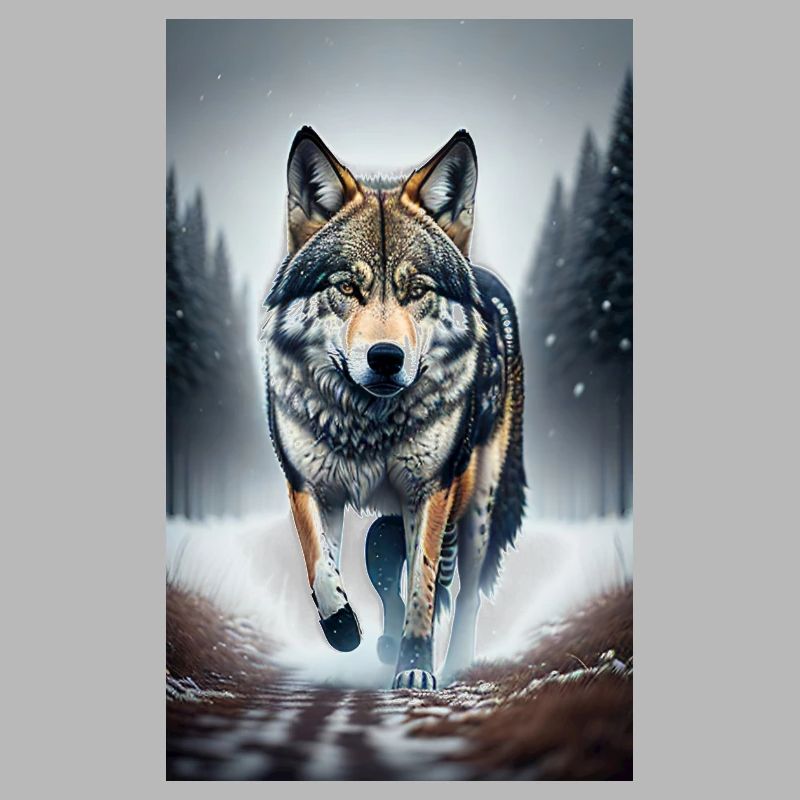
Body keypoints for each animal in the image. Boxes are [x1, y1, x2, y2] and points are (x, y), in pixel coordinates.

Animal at [261, 127, 525, 689]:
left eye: (417, 289)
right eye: (346, 285)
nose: (385, 358)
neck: (368, 425)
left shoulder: (431, 489)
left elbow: (423, 589)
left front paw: (415, 667)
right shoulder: (308, 483)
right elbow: (322, 564)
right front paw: (343, 627)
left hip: (477, 505)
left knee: (464, 593)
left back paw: (455, 663)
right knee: (382, 560)